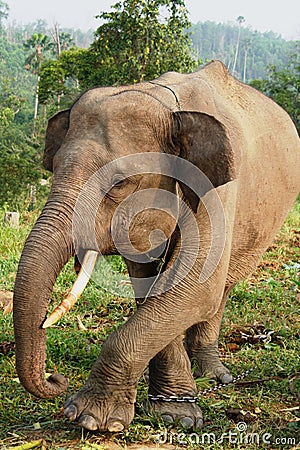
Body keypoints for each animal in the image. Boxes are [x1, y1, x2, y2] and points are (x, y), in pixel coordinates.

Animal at [13, 60, 300, 432]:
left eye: (119, 183)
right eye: (55, 167)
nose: (55, 378)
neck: (164, 103)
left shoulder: (217, 189)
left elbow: (194, 287)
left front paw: (91, 418)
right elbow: (149, 283)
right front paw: (172, 411)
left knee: (219, 291)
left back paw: (216, 375)